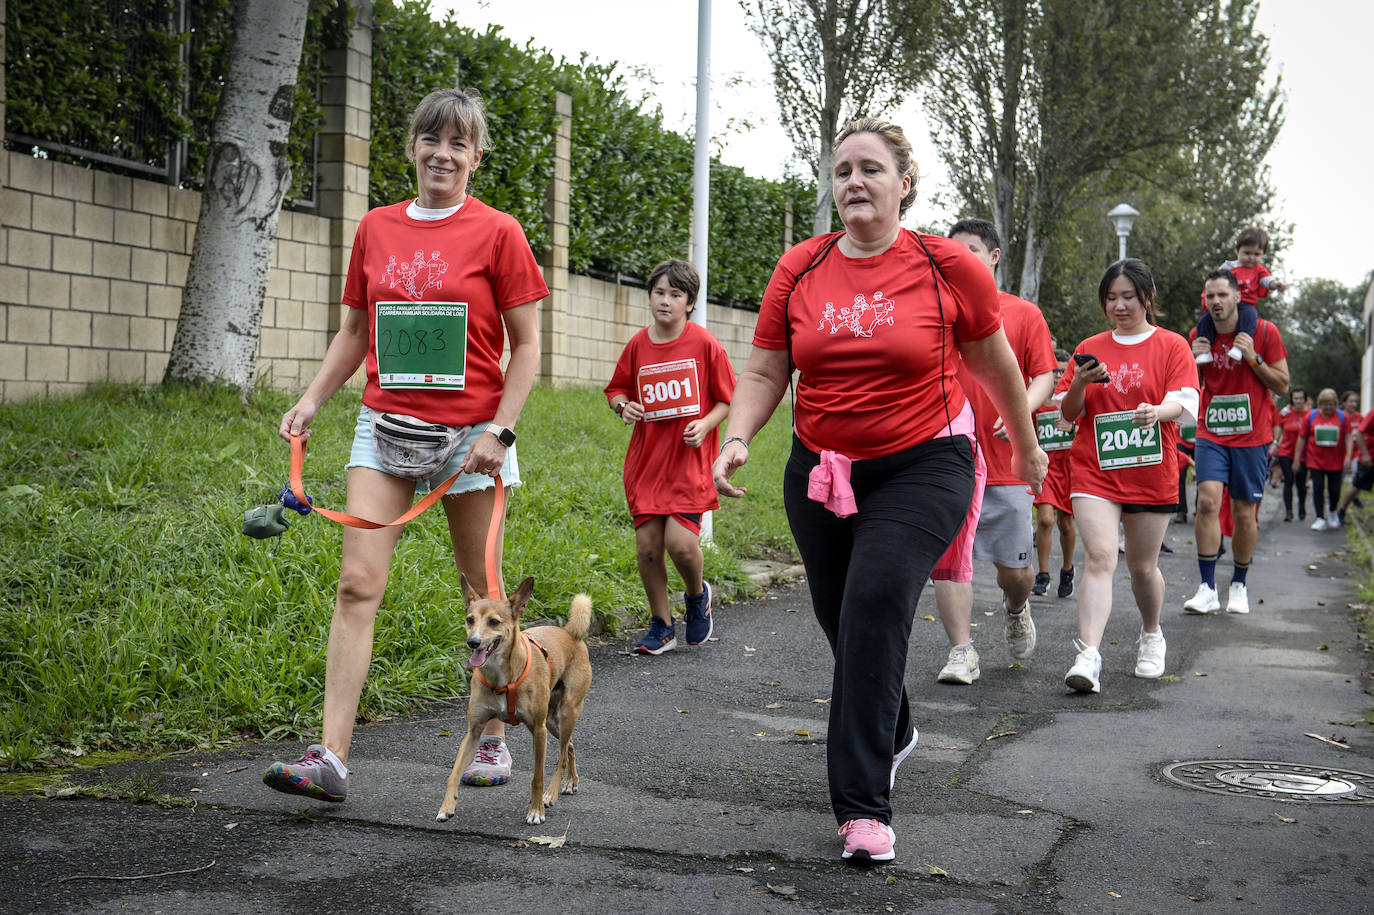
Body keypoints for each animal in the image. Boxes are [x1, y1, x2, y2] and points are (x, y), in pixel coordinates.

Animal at [436, 574, 593, 824]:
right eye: (470, 619)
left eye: (493, 621)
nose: (473, 642)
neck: (501, 675)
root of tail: (570, 633)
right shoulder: (473, 732)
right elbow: (454, 773)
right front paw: (447, 806)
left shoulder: (538, 731)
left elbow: (537, 777)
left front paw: (536, 811)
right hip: (552, 721)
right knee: (569, 745)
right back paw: (571, 781)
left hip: (566, 713)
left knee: (561, 756)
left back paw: (551, 794)